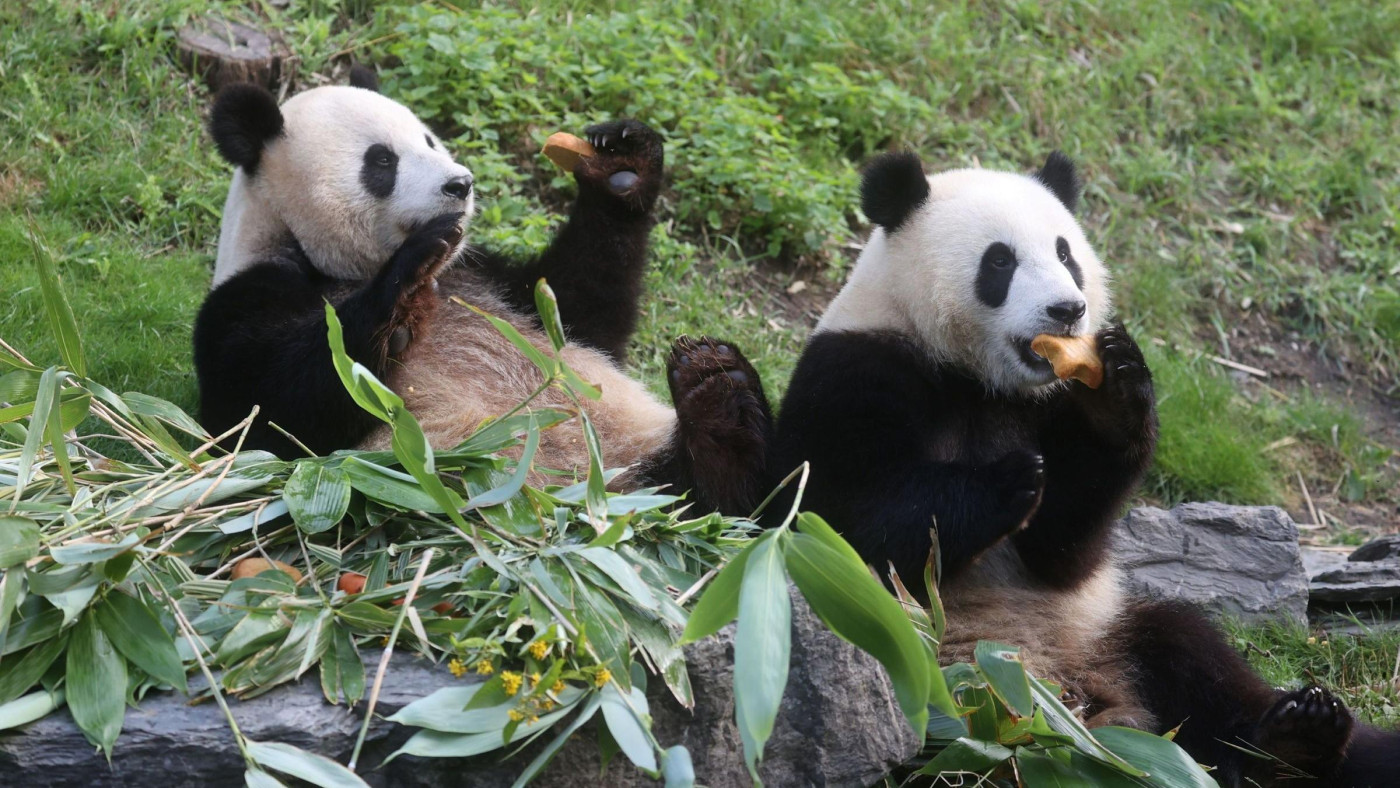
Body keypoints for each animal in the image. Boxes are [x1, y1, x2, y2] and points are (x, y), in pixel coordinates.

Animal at [191, 69, 772, 517]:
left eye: (427, 140)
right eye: (381, 162)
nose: (460, 184)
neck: (336, 264)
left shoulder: (487, 278)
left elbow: (581, 312)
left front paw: (624, 166)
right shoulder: (250, 297)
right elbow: (278, 410)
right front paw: (407, 285)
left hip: (622, 451)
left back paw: (718, 400)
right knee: (687, 495)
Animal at [772, 151, 1394, 783]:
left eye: (1065, 253)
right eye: (999, 261)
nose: (1068, 310)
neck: (981, 380)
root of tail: (1076, 715)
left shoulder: (1052, 406)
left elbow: (1066, 547)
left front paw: (1117, 393)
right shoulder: (855, 373)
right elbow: (847, 522)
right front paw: (1006, 481)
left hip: (1105, 629)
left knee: (1189, 650)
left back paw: (1296, 736)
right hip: (933, 679)